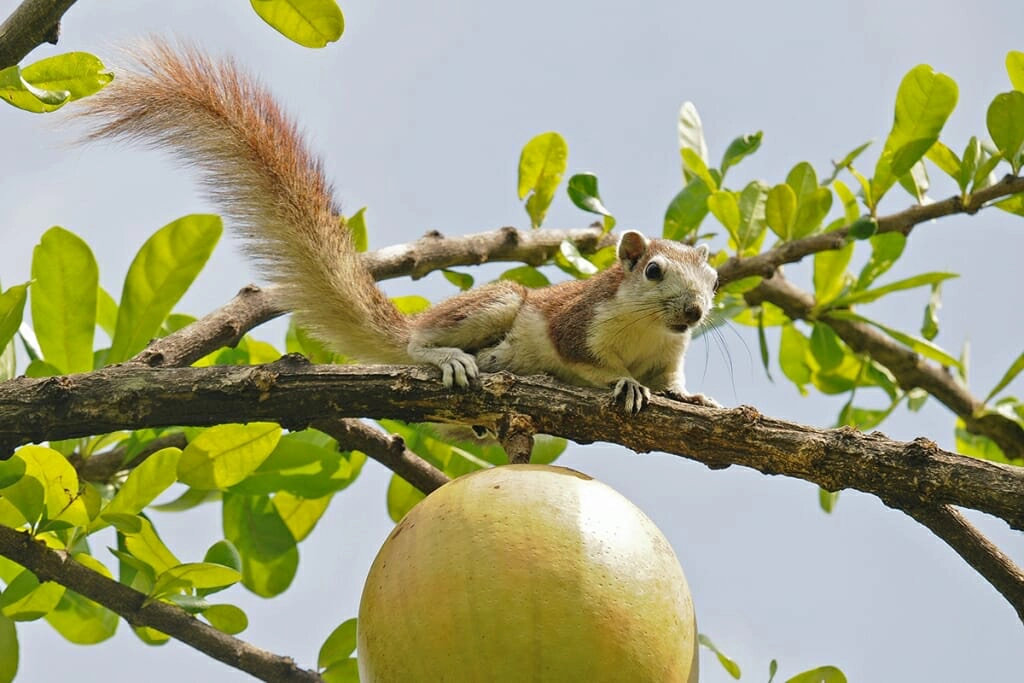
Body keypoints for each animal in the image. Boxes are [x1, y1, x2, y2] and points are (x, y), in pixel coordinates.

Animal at [76, 41, 720, 414]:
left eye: (713, 284)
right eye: (653, 270)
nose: (694, 311)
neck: (649, 330)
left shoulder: (671, 353)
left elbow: (672, 380)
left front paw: (690, 394)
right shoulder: (577, 324)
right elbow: (590, 363)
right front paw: (623, 383)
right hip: (498, 304)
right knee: (417, 344)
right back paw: (452, 357)